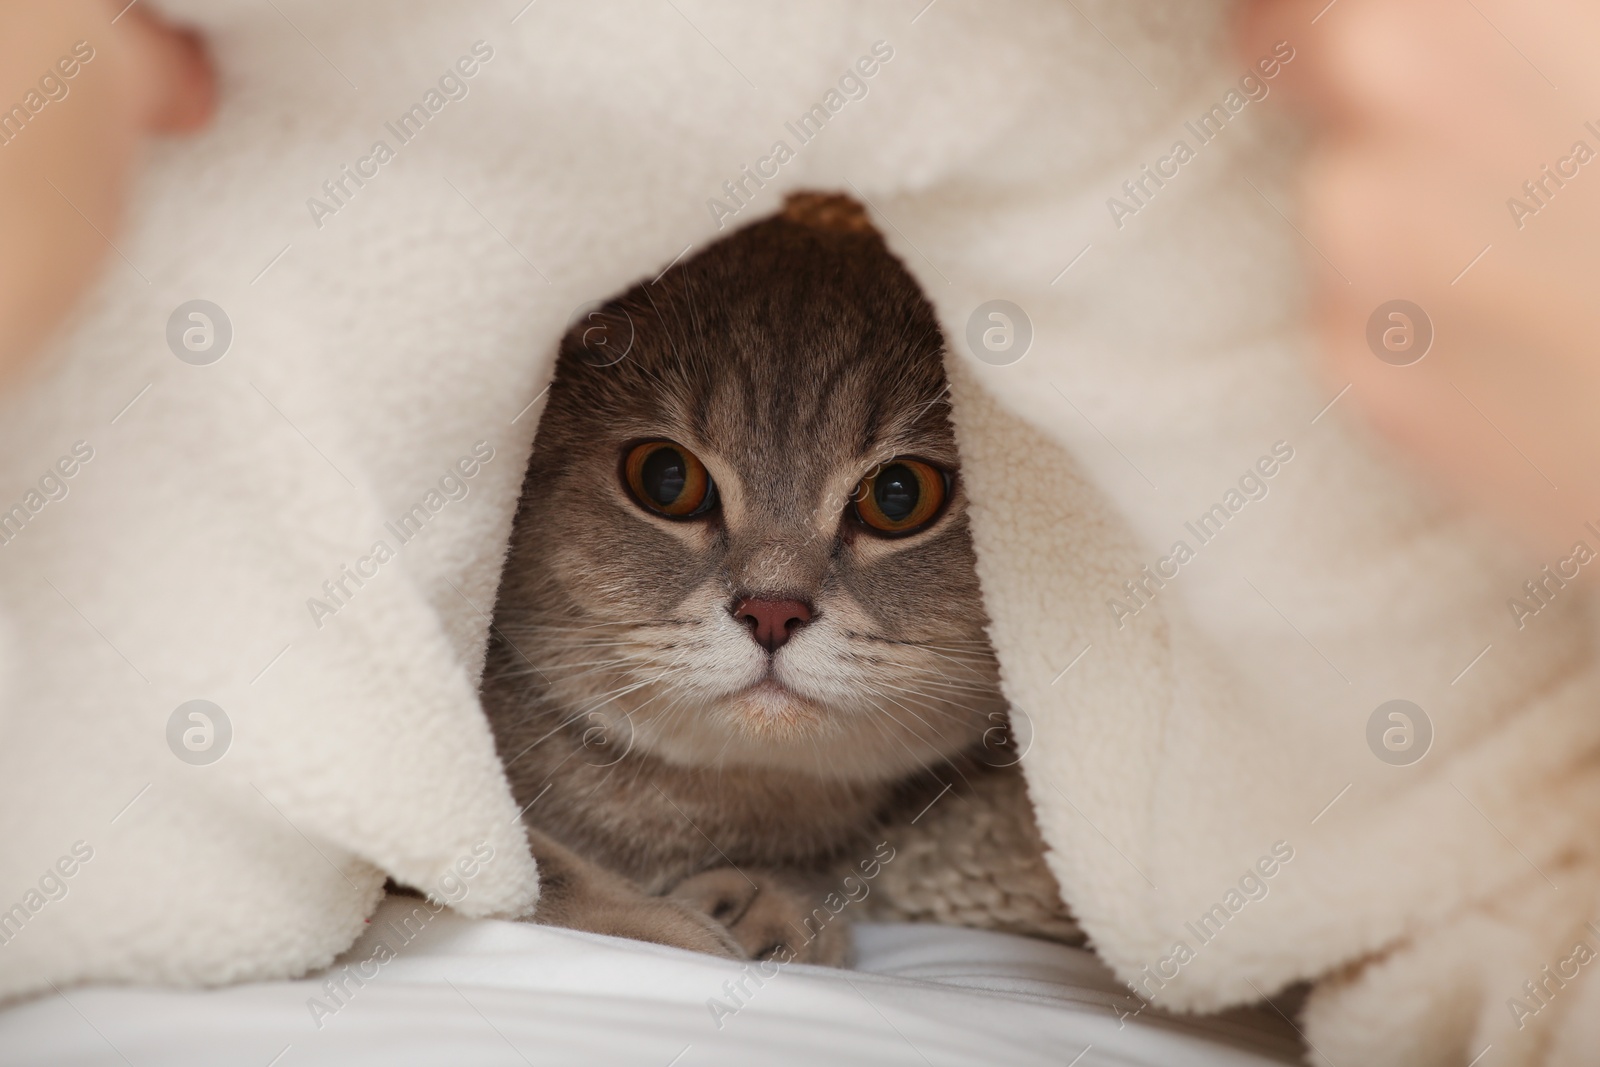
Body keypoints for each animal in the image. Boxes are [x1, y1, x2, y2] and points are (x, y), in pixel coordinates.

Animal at [476, 194, 1075, 966]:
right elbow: (522, 864)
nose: (771, 609)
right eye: (666, 478)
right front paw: (665, 924)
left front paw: (779, 904)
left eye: (900, 495)